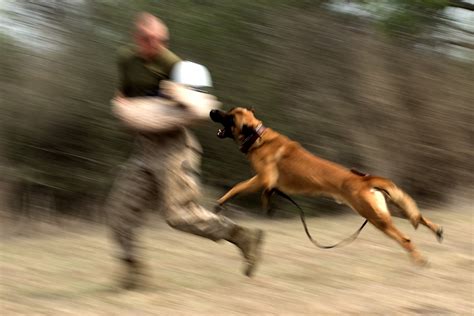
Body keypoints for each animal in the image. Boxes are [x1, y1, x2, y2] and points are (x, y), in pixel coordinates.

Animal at [209, 107, 442, 266]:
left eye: (229, 116)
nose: (212, 110)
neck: (257, 137)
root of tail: (365, 179)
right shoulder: (262, 181)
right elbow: (247, 190)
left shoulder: (263, 179)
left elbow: (240, 187)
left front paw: (226, 204)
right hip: (386, 209)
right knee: (418, 216)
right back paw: (437, 230)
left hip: (376, 217)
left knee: (406, 238)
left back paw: (419, 260)